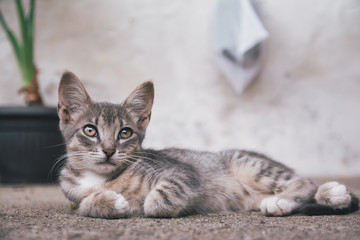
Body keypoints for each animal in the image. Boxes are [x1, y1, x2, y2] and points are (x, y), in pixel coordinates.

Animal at [57, 71, 358, 218]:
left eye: (125, 133)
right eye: (90, 130)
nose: (109, 150)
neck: (102, 178)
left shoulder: (182, 172)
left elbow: (159, 199)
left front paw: (147, 203)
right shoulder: (72, 194)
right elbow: (83, 206)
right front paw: (106, 202)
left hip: (251, 164)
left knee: (305, 182)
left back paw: (299, 197)